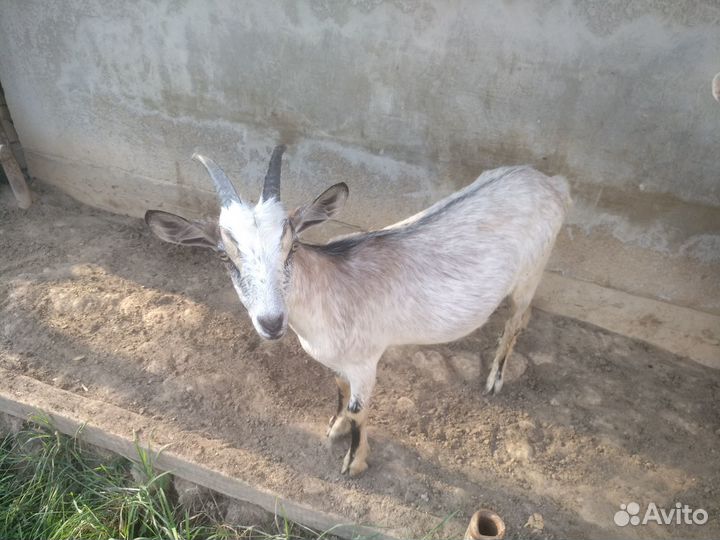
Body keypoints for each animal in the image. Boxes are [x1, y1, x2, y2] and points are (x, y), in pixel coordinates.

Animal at [145, 145, 571, 476]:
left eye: (292, 246)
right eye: (224, 256)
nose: (271, 322)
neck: (328, 293)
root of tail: (549, 183)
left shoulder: (367, 361)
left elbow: (359, 410)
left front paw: (354, 463)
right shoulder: (339, 361)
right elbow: (338, 390)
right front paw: (333, 427)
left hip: (531, 272)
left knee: (519, 318)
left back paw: (495, 377)